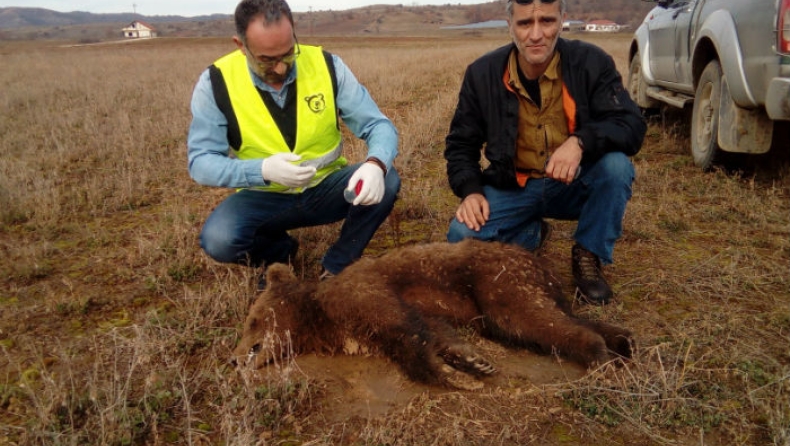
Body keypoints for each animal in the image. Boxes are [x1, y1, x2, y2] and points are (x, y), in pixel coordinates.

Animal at [232, 239, 636, 388]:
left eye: (251, 321)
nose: (234, 358)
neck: (318, 317)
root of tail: (537, 262)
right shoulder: (371, 324)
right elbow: (434, 332)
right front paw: (471, 362)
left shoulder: (364, 295)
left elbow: (406, 336)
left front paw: (453, 375)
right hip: (519, 291)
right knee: (550, 317)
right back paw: (622, 339)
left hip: (499, 280)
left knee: (535, 319)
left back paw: (600, 356)